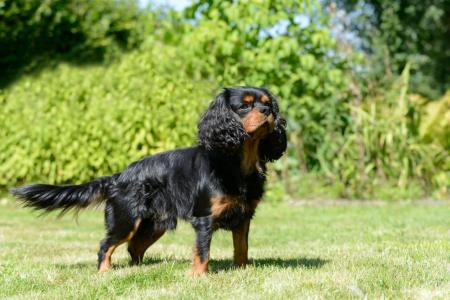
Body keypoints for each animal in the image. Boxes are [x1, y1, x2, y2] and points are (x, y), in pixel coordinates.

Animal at [11, 86, 288, 274]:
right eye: (245, 106)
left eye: (268, 104)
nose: (267, 112)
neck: (237, 161)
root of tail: (118, 176)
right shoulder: (204, 218)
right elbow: (202, 251)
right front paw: (198, 277)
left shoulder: (244, 217)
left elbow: (242, 249)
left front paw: (243, 272)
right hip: (127, 219)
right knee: (106, 245)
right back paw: (104, 273)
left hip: (155, 223)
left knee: (134, 248)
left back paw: (140, 270)